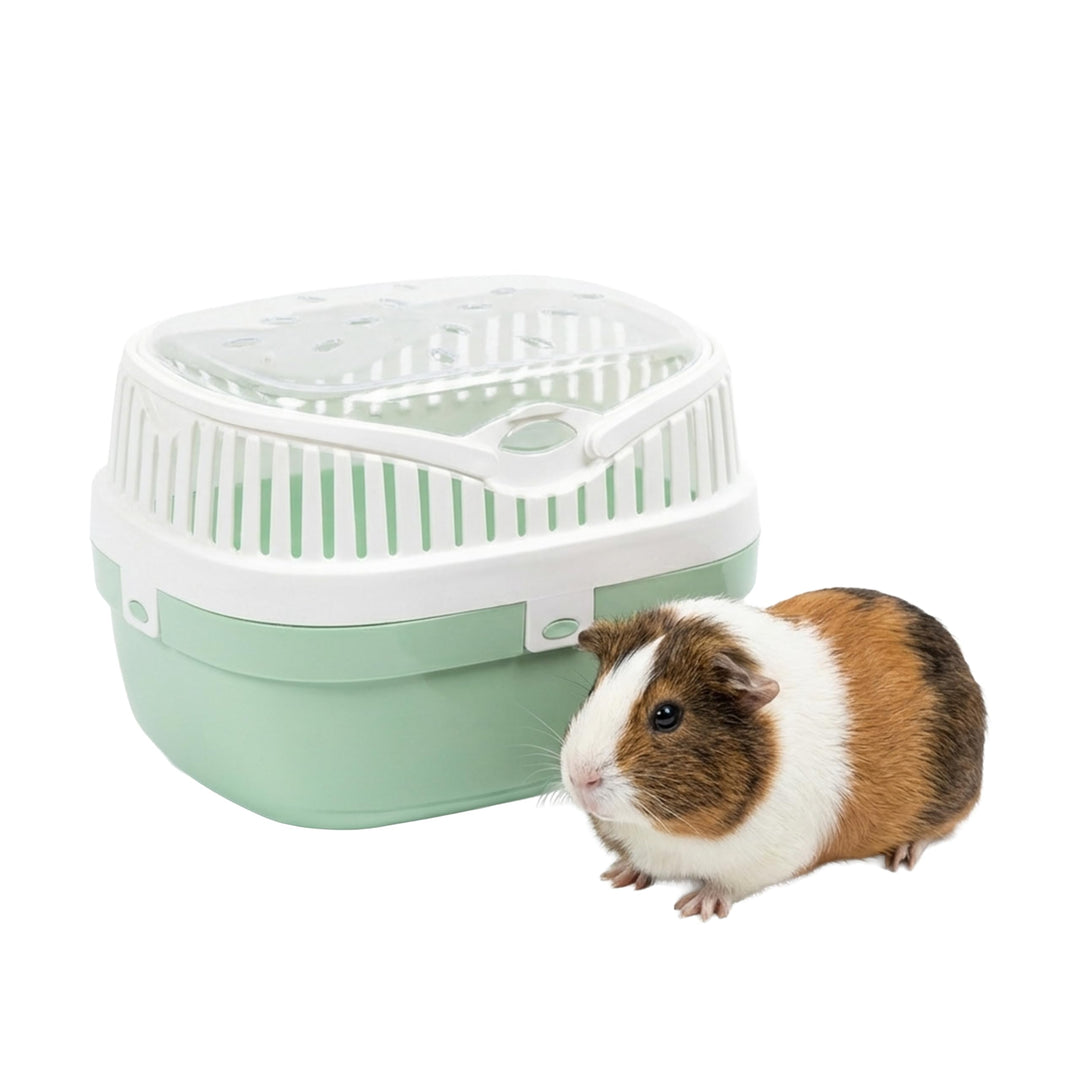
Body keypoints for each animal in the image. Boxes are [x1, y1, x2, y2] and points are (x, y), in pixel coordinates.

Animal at [559, 588, 986, 920]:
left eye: (666, 715)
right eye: (594, 690)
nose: (580, 777)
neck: (670, 832)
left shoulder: (764, 860)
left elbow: (728, 885)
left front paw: (697, 906)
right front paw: (619, 876)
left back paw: (903, 855)